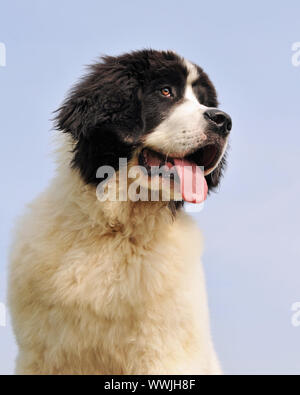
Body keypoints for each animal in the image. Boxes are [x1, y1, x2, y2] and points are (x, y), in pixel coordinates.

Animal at [7, 49, 232, 374]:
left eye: (204, 101)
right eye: (166, 92)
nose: (223, 120)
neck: (117, 230)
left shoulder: (166, 353)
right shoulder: (44, 355)